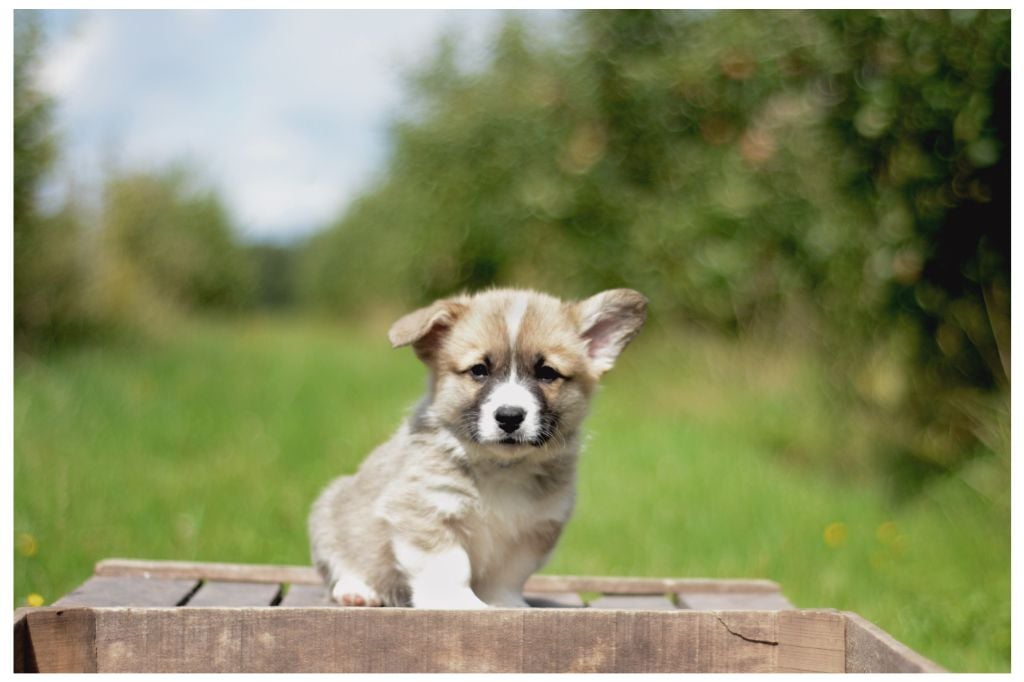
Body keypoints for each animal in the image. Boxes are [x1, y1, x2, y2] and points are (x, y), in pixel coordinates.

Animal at [309, 286, 647, 606]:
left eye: (547, 372)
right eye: (479, 370)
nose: (509, 416)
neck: (500, 467)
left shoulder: (534, 529)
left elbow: (508, 575)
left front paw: (505, 604)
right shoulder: (425, 509)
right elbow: (449, 565)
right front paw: (458, 603)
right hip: (329, 515)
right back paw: (358, 590)